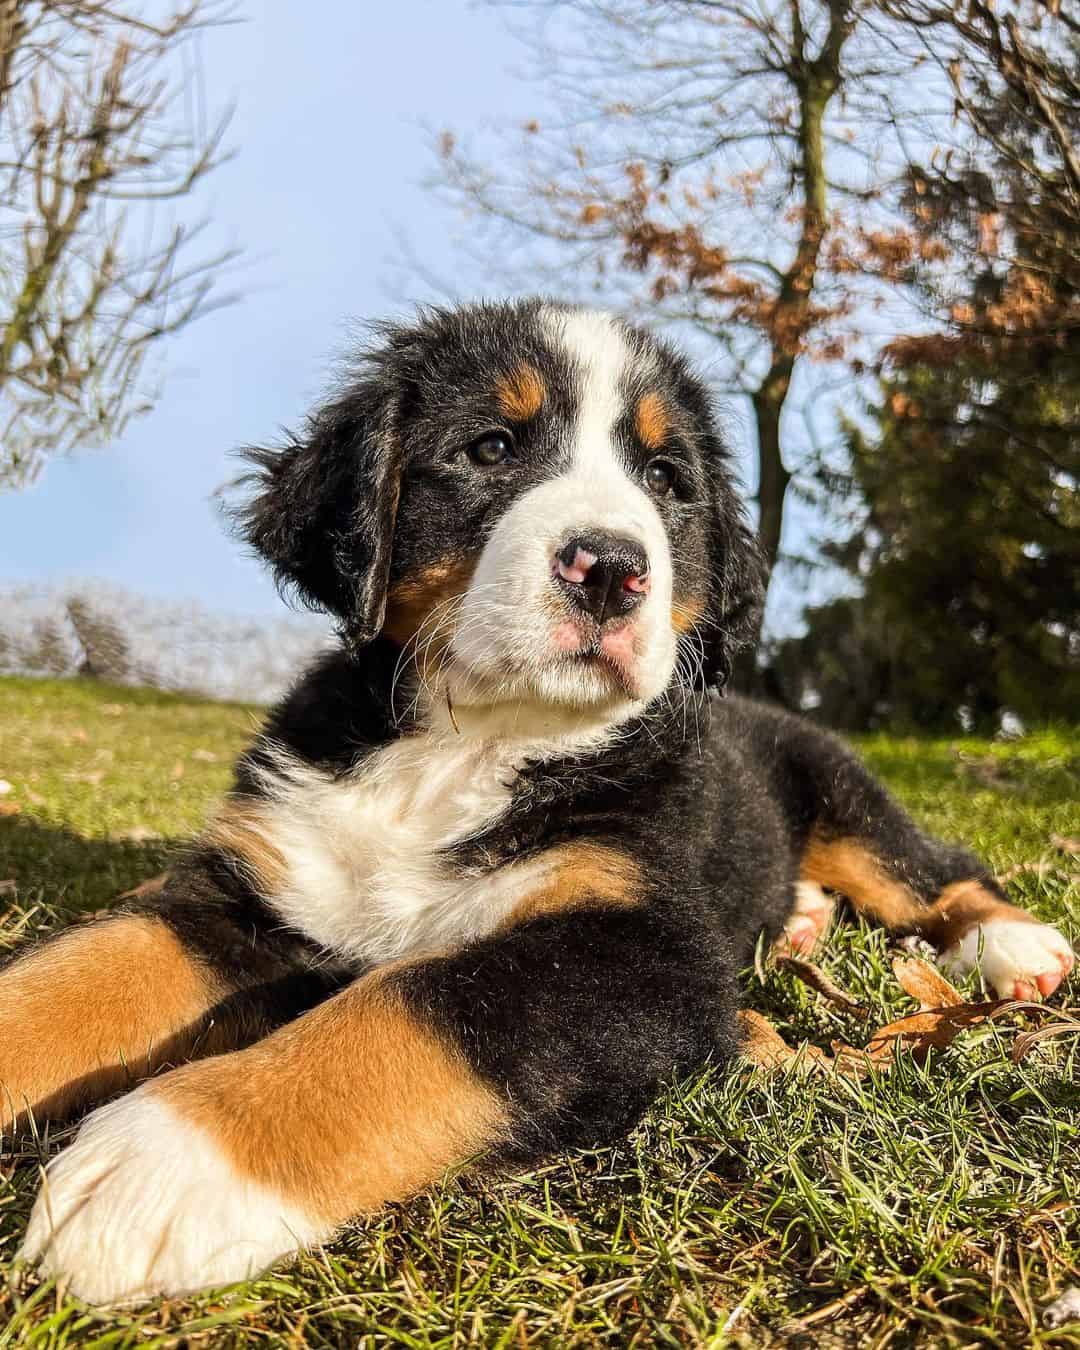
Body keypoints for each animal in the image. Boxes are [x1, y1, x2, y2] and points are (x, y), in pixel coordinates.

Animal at [4, 301, 1074, 1301]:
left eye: (666, 480)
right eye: (491, 448)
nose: (611, 568)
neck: (470, 746)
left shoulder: (636, 948)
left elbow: (407, 1007)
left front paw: (163, 1164)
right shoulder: (258, 882)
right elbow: (84, 966)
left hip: (840, 785)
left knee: (927, 869)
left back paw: (1014, 945)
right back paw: (809, 921)